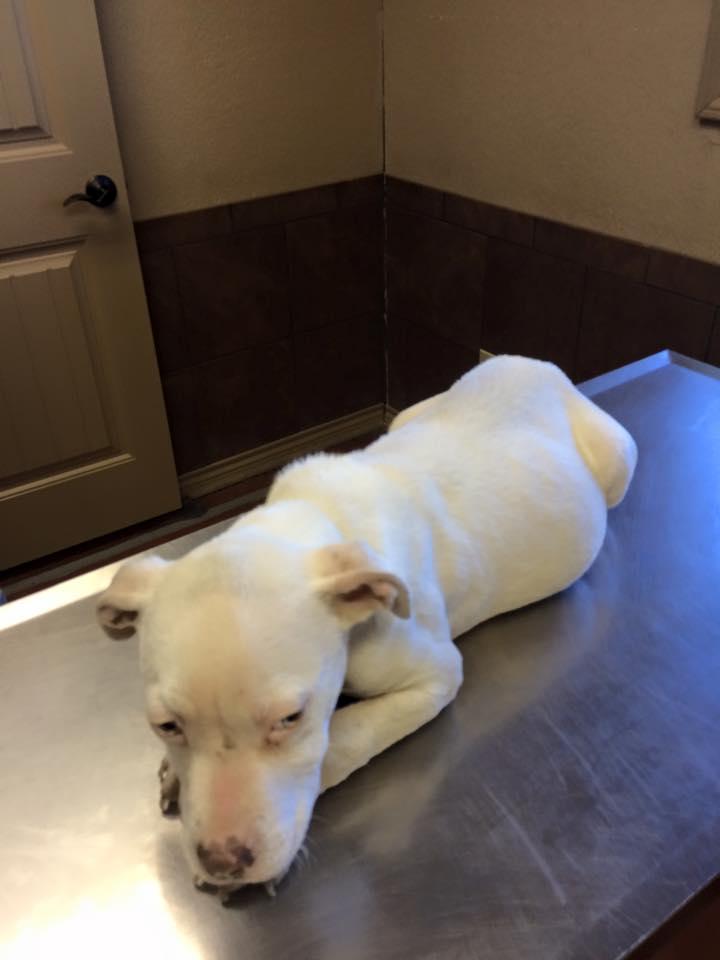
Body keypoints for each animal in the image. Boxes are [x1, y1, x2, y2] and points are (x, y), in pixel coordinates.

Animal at [97, 356, 636, 896]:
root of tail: (534, 364)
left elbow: (344, 736)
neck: (314, 519)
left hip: (619, 458)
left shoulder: (436, 674)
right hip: (415, 412)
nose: (223, 862)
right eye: (166, 726)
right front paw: (174, 775)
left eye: (291, 718)